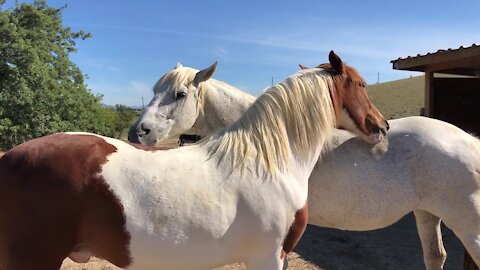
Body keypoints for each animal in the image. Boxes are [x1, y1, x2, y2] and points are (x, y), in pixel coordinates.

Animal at [128, 61, 480, 270]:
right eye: (154, 91)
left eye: (180, 94)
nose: (137, 132)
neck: (268, 140)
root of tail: (469, 140)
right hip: (427, 214)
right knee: (435, 256)